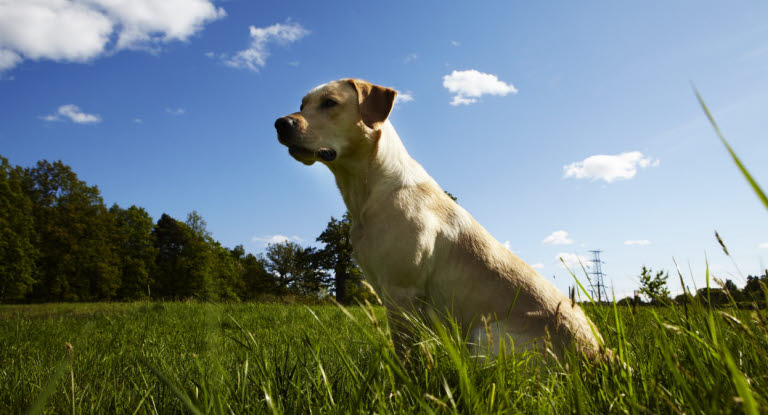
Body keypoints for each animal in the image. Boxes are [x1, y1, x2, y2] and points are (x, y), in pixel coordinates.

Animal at [274, 79, 608, 362]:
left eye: (330, 102)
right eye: (303, 104)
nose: (280, 123)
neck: (365, 190)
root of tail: (603, 358)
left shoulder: (402, 291)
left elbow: (406, 356)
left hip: (484, 336)